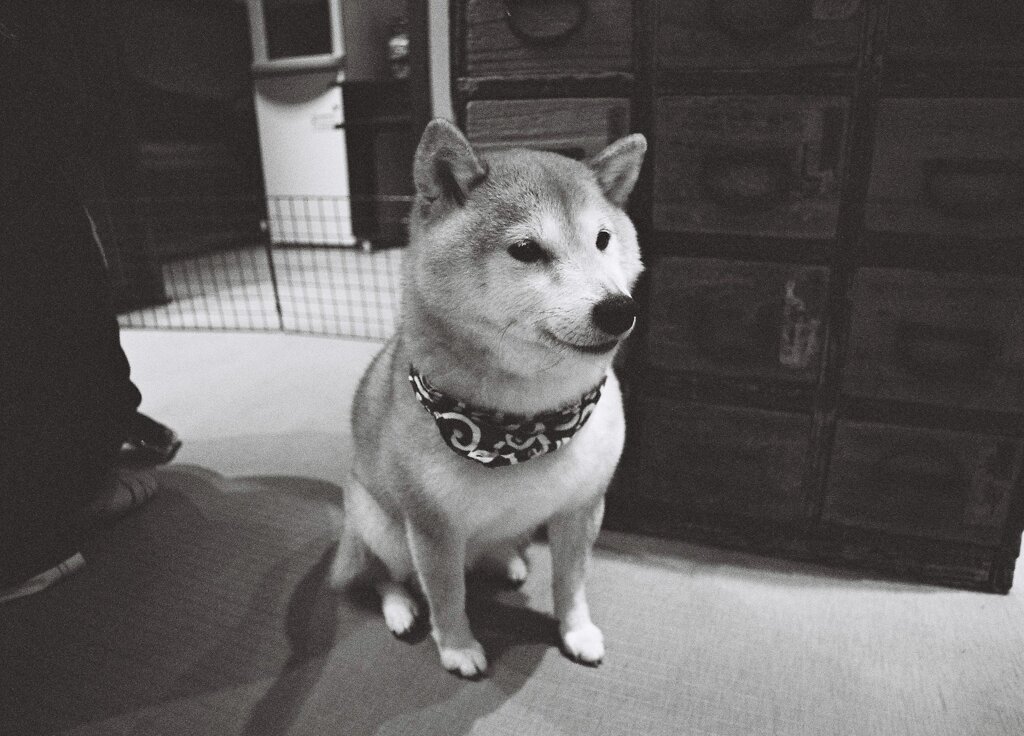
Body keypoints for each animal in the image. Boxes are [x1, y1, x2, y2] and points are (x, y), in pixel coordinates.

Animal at [330, 118, 646, 677]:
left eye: (603, 240)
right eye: (526, 250)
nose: (618, 309)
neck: (529, 418)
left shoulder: (583, 507)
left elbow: (571, 582)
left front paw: (576, 631)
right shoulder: (431, 526)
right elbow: (446, 593)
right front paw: (457, 647)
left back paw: (505, 562)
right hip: (380, 525)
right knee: (383, 576)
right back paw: (400, 609)